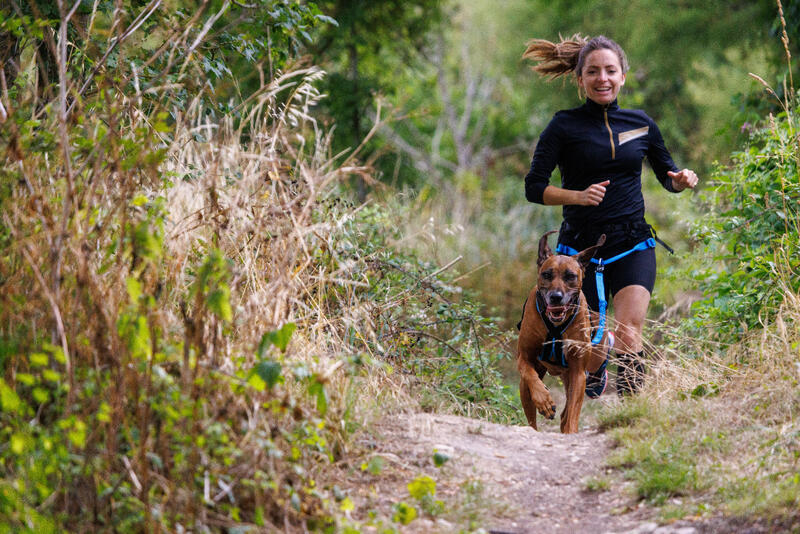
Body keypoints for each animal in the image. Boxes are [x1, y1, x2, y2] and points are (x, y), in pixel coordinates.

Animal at [516, 231, 608, 436]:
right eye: (546, 274)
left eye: (570, 276)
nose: (556, 297)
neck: (555, 325)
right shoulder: (524, 358)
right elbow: (530, 375)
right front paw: (544, 401)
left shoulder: (578, 373)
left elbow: (573, 411)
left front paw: (570, 431)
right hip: (526, 385)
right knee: (530, 411)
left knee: (567, 412)